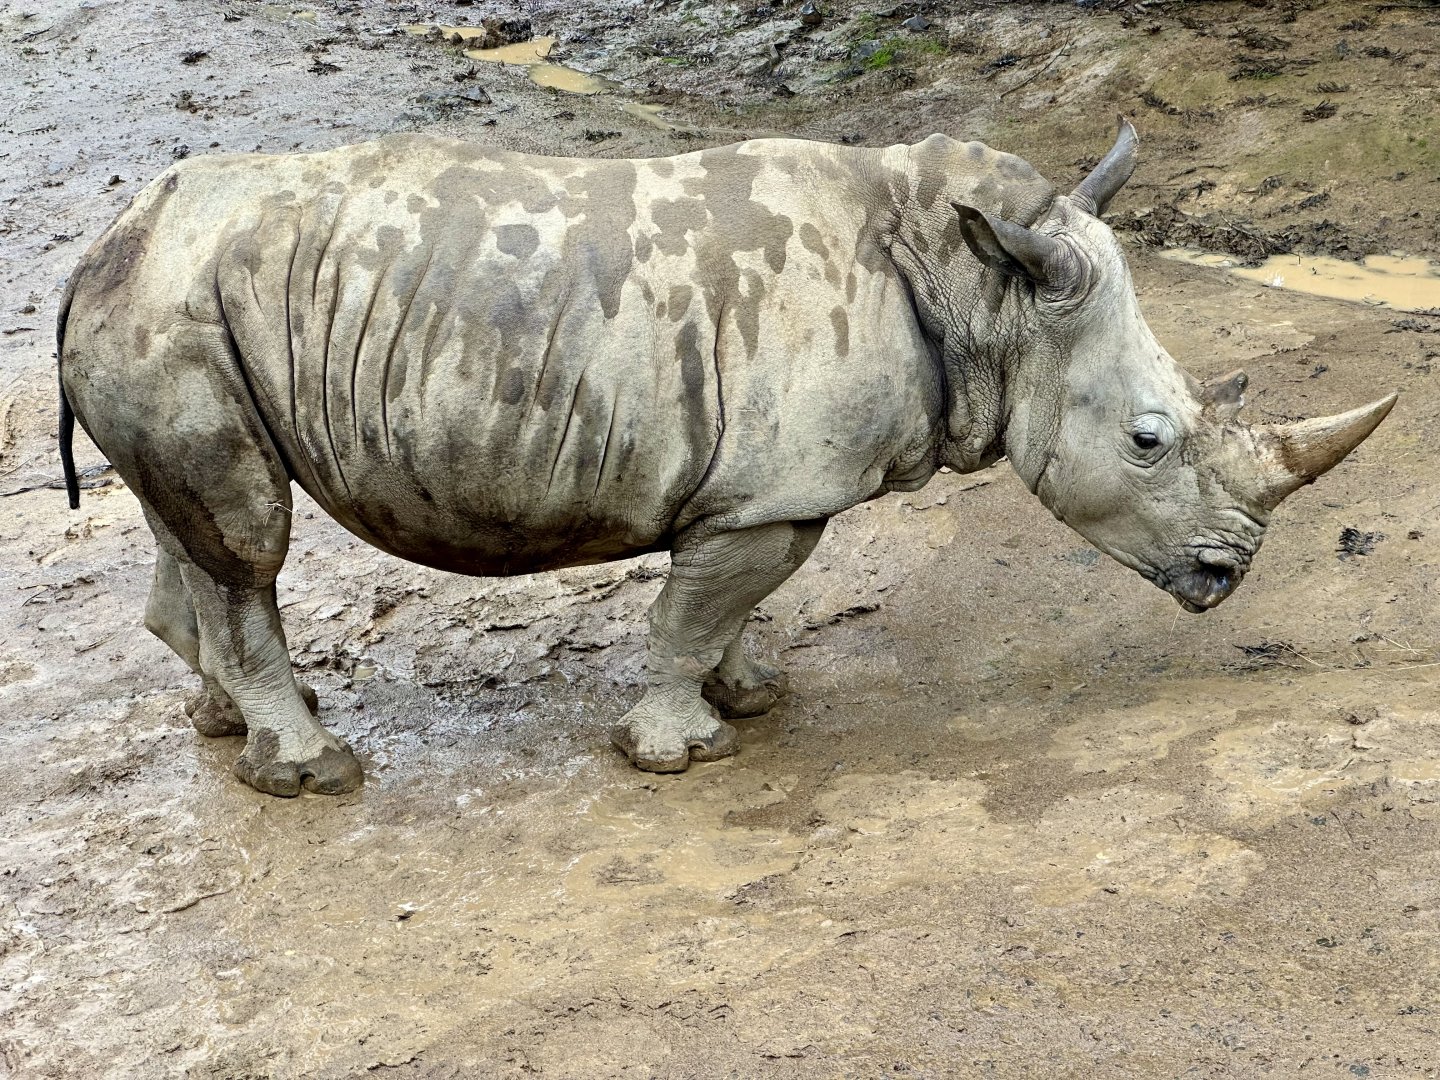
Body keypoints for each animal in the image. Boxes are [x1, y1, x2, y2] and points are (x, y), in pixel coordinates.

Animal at [56, 119, 1394, 797]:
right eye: (1148, 442)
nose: (1229, 577)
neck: (984, 289)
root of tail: (97, 243)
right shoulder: (772, 495)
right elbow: (692, 613)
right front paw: (680, 753)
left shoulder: (761, 487)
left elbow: (729, 606)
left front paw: (751, 696)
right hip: (176, 312)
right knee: (246, 540)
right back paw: (313, 771)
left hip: (178, 310)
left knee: (198, 529)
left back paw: (226, 723)